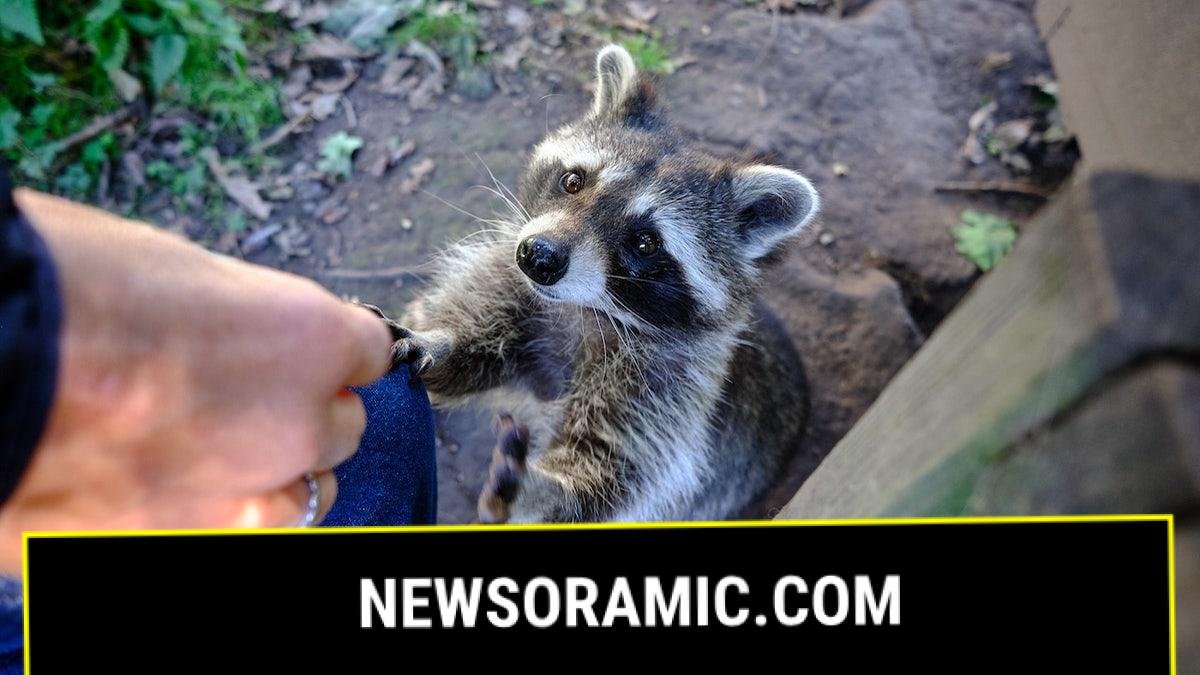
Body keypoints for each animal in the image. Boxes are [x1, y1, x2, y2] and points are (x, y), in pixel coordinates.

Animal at [383, 44, 819, 523]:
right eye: (573, 181)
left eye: (645, 242)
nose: (539, 257)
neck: (582, 309)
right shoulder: (512, 288)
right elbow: (476, 338)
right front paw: (440, 342)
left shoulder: (668, 383)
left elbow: (617, 469)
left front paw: (544, 491)